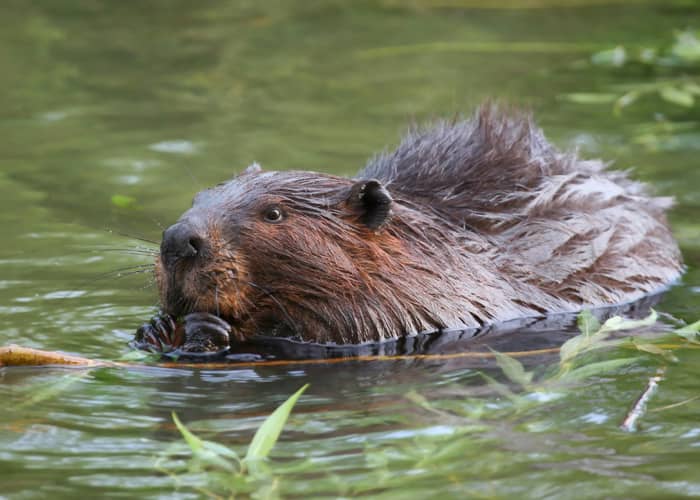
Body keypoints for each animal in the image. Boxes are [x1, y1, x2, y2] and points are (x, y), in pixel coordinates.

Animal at [135, 106, 684, 356]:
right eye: (198, 198)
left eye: (273, 215)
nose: (177, 240)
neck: (432, 249)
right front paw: (156, 328)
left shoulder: (419, 300)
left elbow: (343, 332)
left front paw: (208, 330)